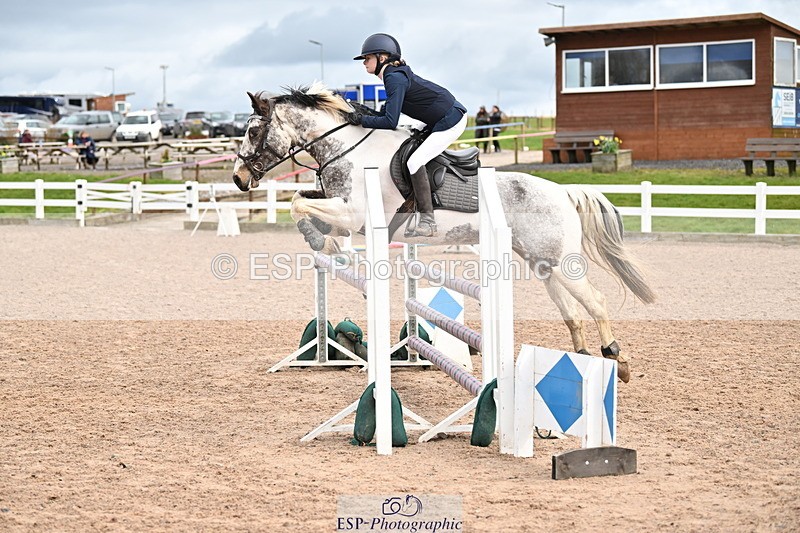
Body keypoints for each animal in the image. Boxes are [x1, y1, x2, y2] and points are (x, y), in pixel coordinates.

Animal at [232, 83, 656, 382]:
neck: (347, 149)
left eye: (252, 132)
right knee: (572, 313)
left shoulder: (355, 213)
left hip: (561, 261)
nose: (237, 179)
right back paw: (581, 361)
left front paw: (324, 241)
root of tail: (564, 192)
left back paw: (617, 359)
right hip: (542, 263)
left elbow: (299, 205)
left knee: (596, 301)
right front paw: (322, 239)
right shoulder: (340, 206)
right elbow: (299, 202)